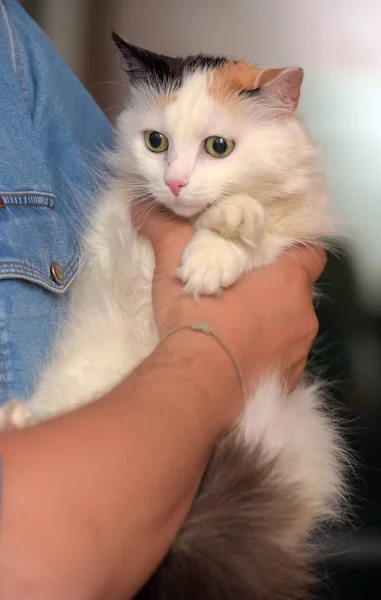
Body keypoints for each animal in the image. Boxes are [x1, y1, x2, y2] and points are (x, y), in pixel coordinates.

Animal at [0, 31, 348, 600]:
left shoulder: (301, 237)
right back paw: (20, 420)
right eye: (156, 143)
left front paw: (219, 242)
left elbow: (259, 229)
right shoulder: (118, 230)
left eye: (219, 147)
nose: (177, 184)